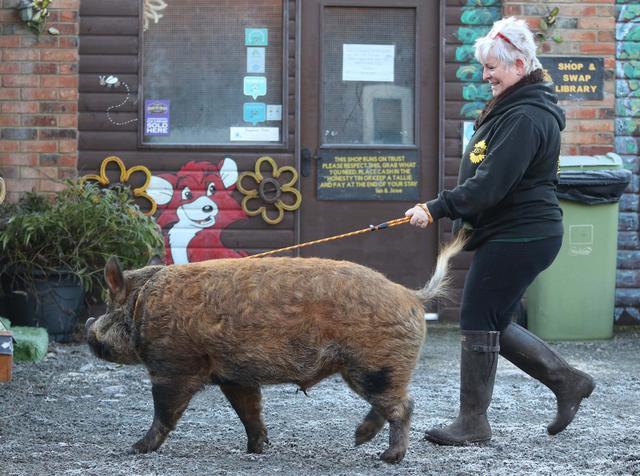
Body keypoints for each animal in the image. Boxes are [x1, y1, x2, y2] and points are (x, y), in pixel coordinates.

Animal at [86, 236, 464, 462]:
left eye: (109, 305)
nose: (89, 331)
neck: (141, 305)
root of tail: (412, 295)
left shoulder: (173, 366)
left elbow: (164, 411)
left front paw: (134, 449)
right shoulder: (234, 376)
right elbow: (249, 411)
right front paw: (257, 450)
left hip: (375, 365)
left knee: (403, 405)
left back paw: (387, 457)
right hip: (369, 368)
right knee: (391, 404)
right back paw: (359, 441)